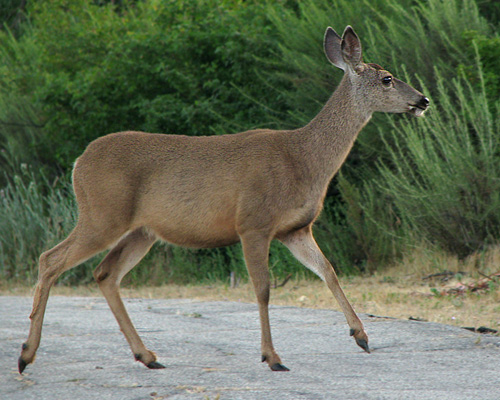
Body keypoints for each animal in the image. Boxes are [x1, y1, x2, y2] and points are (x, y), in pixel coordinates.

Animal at [17, 26, 428, 374]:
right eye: (387, 78)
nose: (423, 100)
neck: (303, 160)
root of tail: (78, 162)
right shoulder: (253, 222)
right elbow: (263, 288)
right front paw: (272, 357)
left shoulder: (295, 229)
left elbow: (328, 270)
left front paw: (361, 336)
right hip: (102, 214)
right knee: (49, 259)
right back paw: (26, 355)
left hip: (141, 231)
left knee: (105, 273)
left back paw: (147, 355)